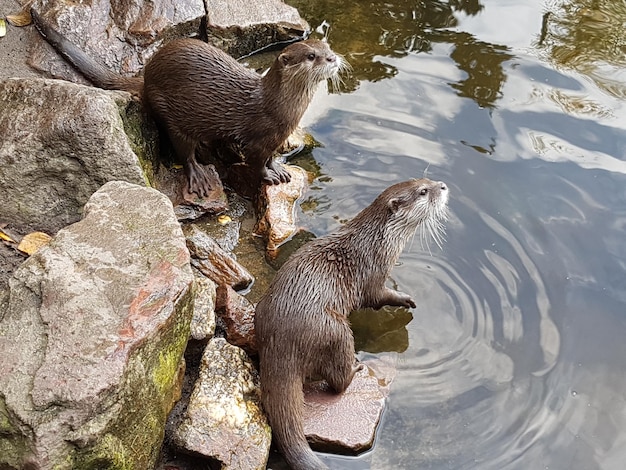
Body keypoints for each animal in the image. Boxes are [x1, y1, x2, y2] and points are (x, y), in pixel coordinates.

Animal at [30, 9, 346, 196]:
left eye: (327, 47)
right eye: (311, 56)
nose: (333, 58)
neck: (278, 108)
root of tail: (147, 76)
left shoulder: (277, 137)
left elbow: (271, 156)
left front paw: (278, 167)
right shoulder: (259, 139)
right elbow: (256, 163)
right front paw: (267, 175)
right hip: (170, 115)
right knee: (184, 151)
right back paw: (199, 177)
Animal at [254, 178, 448, 468]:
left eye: (426, 180)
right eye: (424, 192)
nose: (443, 186)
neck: (379, 241)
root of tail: (280, 342)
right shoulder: (373, 272)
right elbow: (377, 297)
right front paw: (404, 299)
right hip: (334, 330)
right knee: (337, 380)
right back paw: (356, 369)